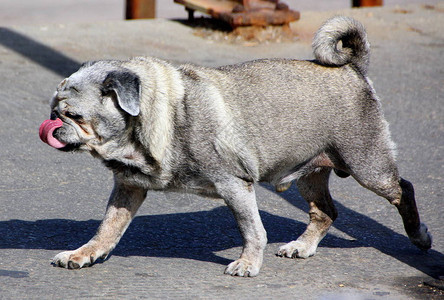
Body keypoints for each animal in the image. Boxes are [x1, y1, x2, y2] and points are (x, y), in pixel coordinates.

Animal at [40, 17, 430, 276]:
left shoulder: (235, 185)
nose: (52, 124)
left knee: (402, 189)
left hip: (368, 166)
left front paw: (248, 262)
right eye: (54, 110)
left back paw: (420, 236)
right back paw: (302, 246)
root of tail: (351, 69)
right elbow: (107, 228)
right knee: (325, 212)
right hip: (310, 175)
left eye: (74, 115)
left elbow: (252, 229)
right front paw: (85, 253)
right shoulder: (128, 188)